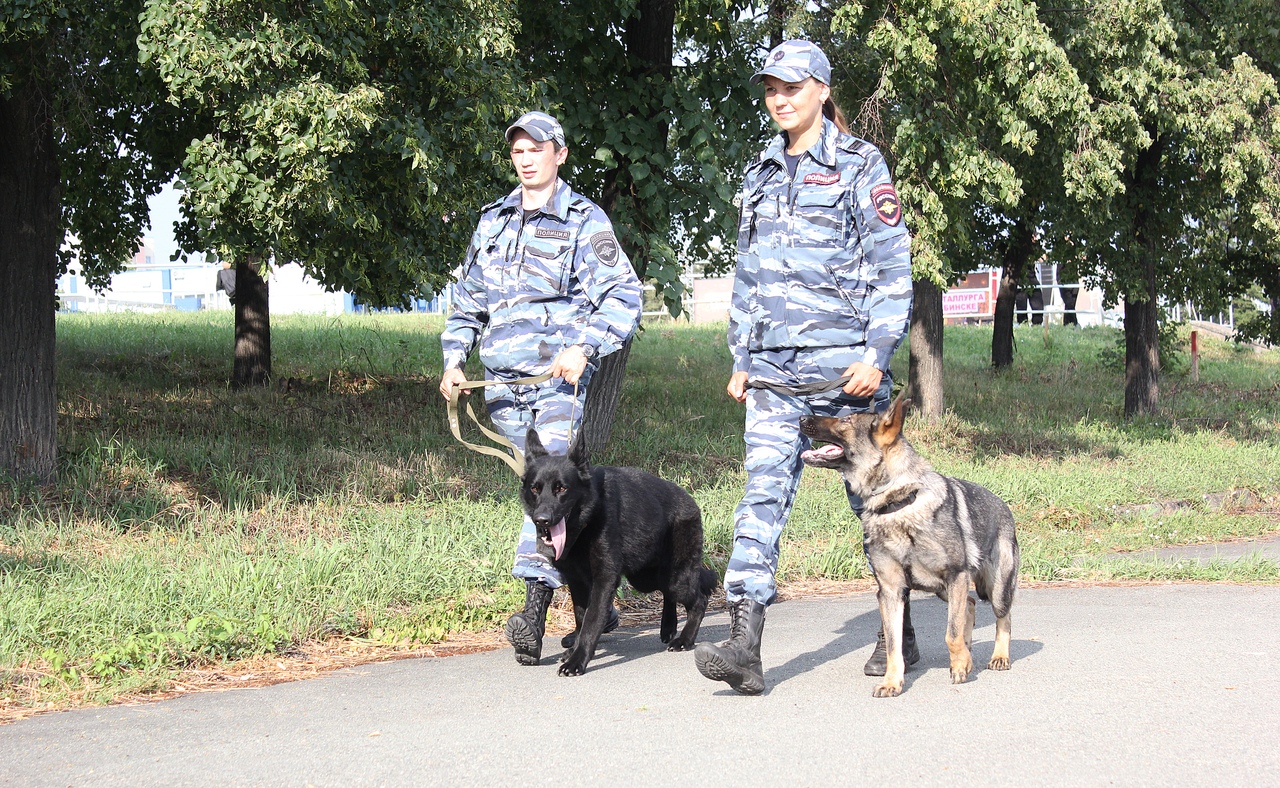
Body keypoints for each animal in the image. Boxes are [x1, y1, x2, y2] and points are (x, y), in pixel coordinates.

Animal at [522, 429, 721, 675]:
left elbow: (591, 622)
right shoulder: (577, 582)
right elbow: (581, 618)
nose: (541, 520)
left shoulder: (604, 580)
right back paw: (668, 626)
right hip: (645, 577)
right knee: (670, 592)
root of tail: (690, 500)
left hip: (676, 578)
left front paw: (577, 660)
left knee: (699, 599)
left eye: (562, 488)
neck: (588, 519)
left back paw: (685, 639)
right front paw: (575, 650)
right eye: (535, 489)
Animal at [798, 396, 1018, 701]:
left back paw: (999, 656)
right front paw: (892, 682)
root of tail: (1003, 506)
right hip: (945, 590)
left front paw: (959, 664)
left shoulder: (956, 576)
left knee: (1003, 617)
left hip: (994, 588)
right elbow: (894, 645)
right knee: (971, 605)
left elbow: (950, 633)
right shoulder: (892, 591)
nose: (800, 418)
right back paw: (969, 652)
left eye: (846, 420)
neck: (898, 501)